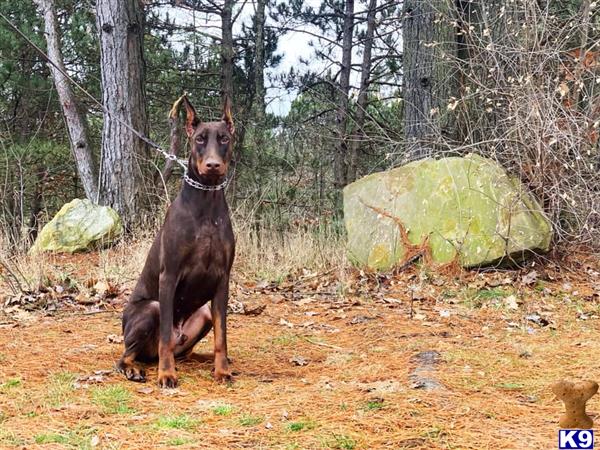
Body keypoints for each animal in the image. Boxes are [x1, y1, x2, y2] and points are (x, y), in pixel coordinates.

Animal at [116, 96, 236, 386]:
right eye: (200, 139)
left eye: (224, 138)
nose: (213, 165)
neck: (206, 202)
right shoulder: (168, 276)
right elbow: (164, 340)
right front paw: (166, 374)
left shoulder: (223, 279)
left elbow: (222, 336)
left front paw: (222, 370)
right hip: (152, 309)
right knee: (129, 355)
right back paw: (135, 368)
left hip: (203, 314)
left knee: (187, 351)